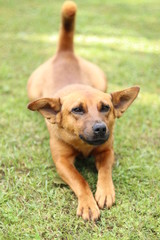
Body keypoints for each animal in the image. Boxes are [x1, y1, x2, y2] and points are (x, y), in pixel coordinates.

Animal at [27, 0, 140, 221]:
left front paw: (105, 191)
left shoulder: (106, 151)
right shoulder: (62, 162)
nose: (100, 128)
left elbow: (105, 171)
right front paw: (88, 203)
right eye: (77, 110)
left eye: (106, 108)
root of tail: (65, 54)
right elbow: (80, 180)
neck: (83, 144)